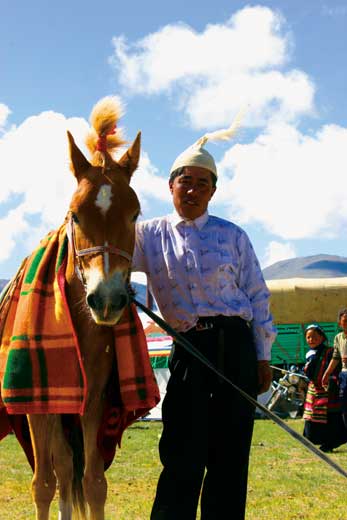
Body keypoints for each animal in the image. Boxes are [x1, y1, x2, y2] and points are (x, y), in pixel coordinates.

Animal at [0, 97, 158, 520]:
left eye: (135, 214)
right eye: (75, 214)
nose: (107, 299)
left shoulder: (93, 401)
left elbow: (92, 482)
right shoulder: (37, 404)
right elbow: (42, 485)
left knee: (68, 467)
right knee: (56, 470)